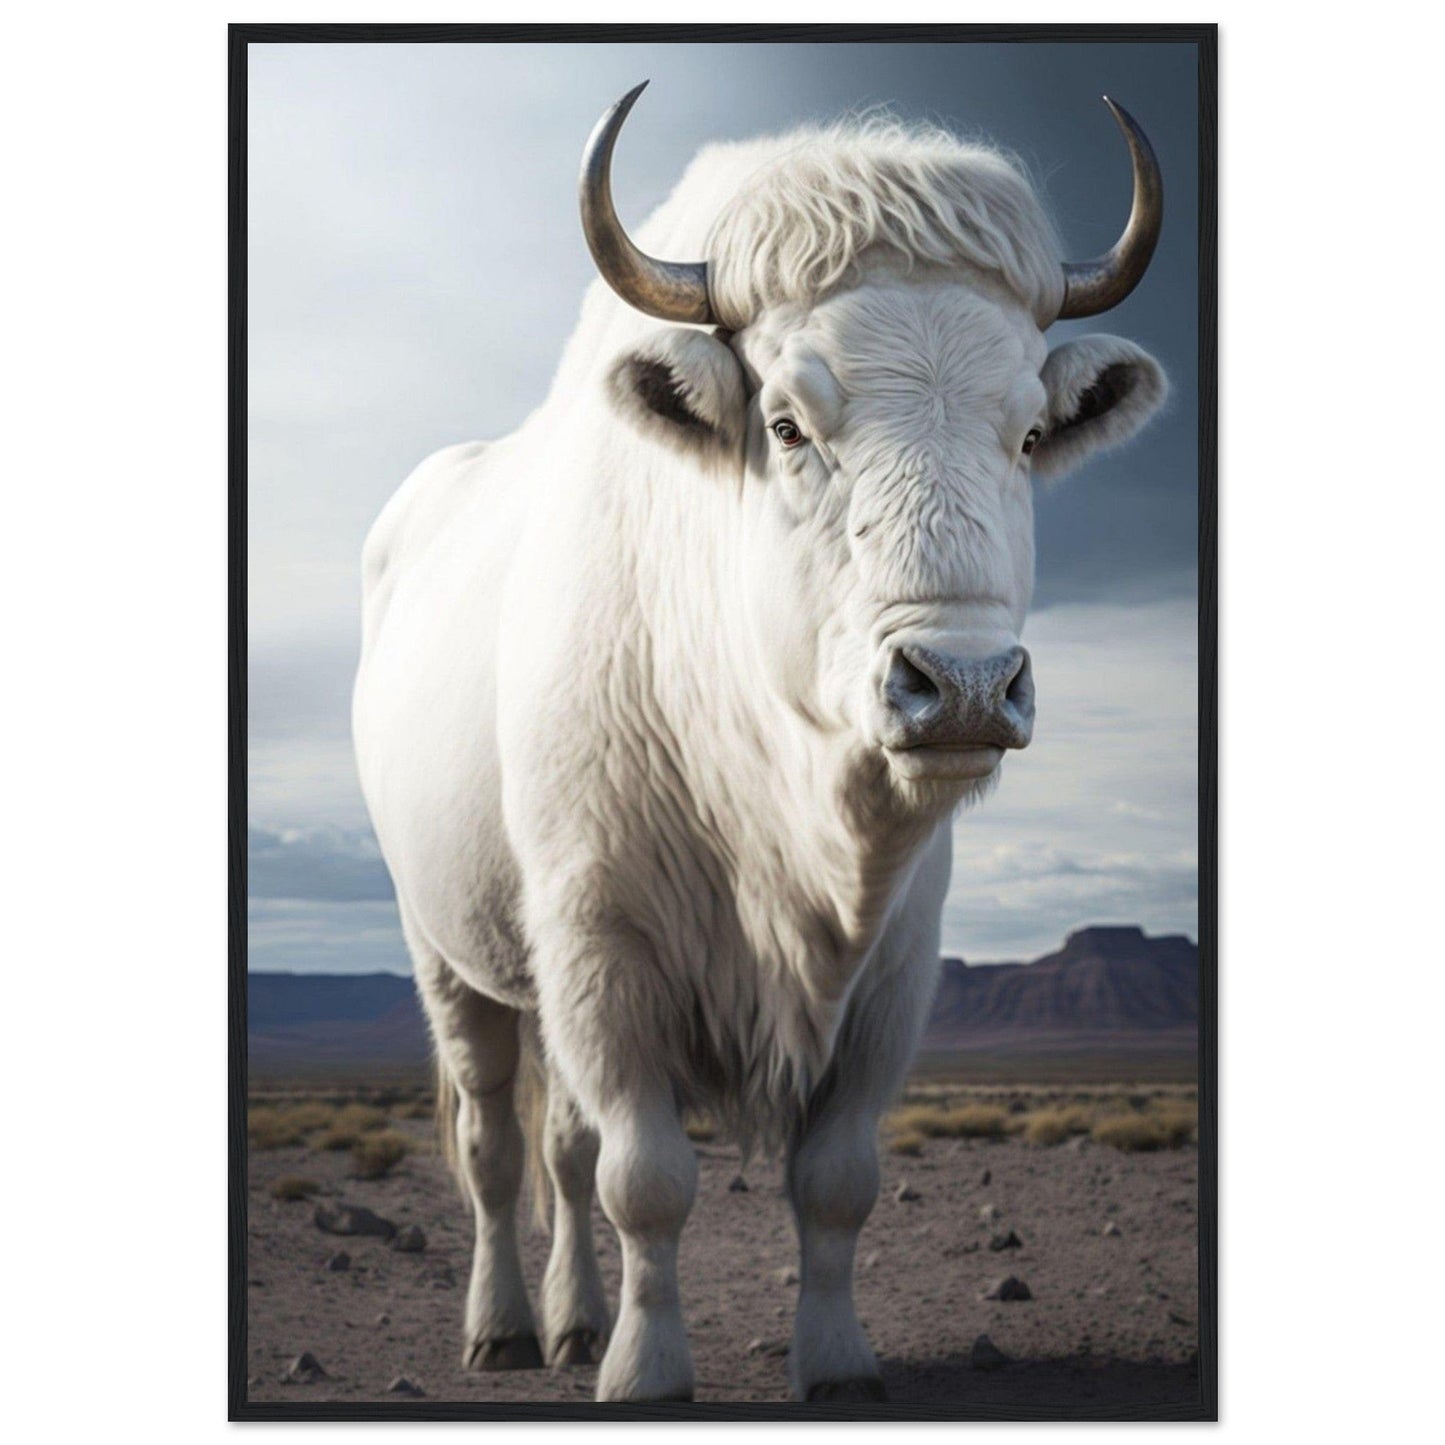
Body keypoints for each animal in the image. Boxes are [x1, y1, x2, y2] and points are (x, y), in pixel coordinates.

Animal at [352, 83, 1167, 1403]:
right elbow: (645, 1178)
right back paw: (507, 1325)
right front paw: (644, 1369)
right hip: (449, 952)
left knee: (559, 1147)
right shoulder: (601, 949)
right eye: (786, 422)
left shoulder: (892, 976)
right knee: (492, 1143)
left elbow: (833, 1181)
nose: (963, 686)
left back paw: (572, 1317)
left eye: (1027, 433)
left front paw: (833, 1362)